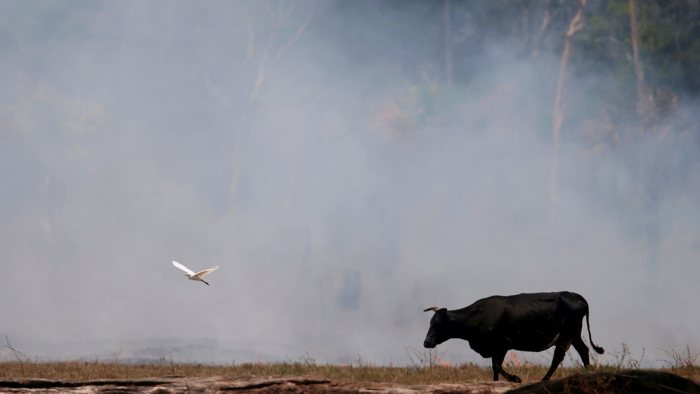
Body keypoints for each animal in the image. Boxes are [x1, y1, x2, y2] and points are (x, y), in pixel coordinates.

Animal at [424, 292, 604, 382]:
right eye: (430, 322)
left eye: (437, 324)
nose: (426, 342)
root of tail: (577, 296)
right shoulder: (495, 348)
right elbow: (495, 368)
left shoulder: (502, 344)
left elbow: (497, 366)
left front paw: (515, 378)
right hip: (573, 335)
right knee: (584, 350)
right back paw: (588, 373)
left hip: (566, 335)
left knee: (558, 357)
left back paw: (545, 379)